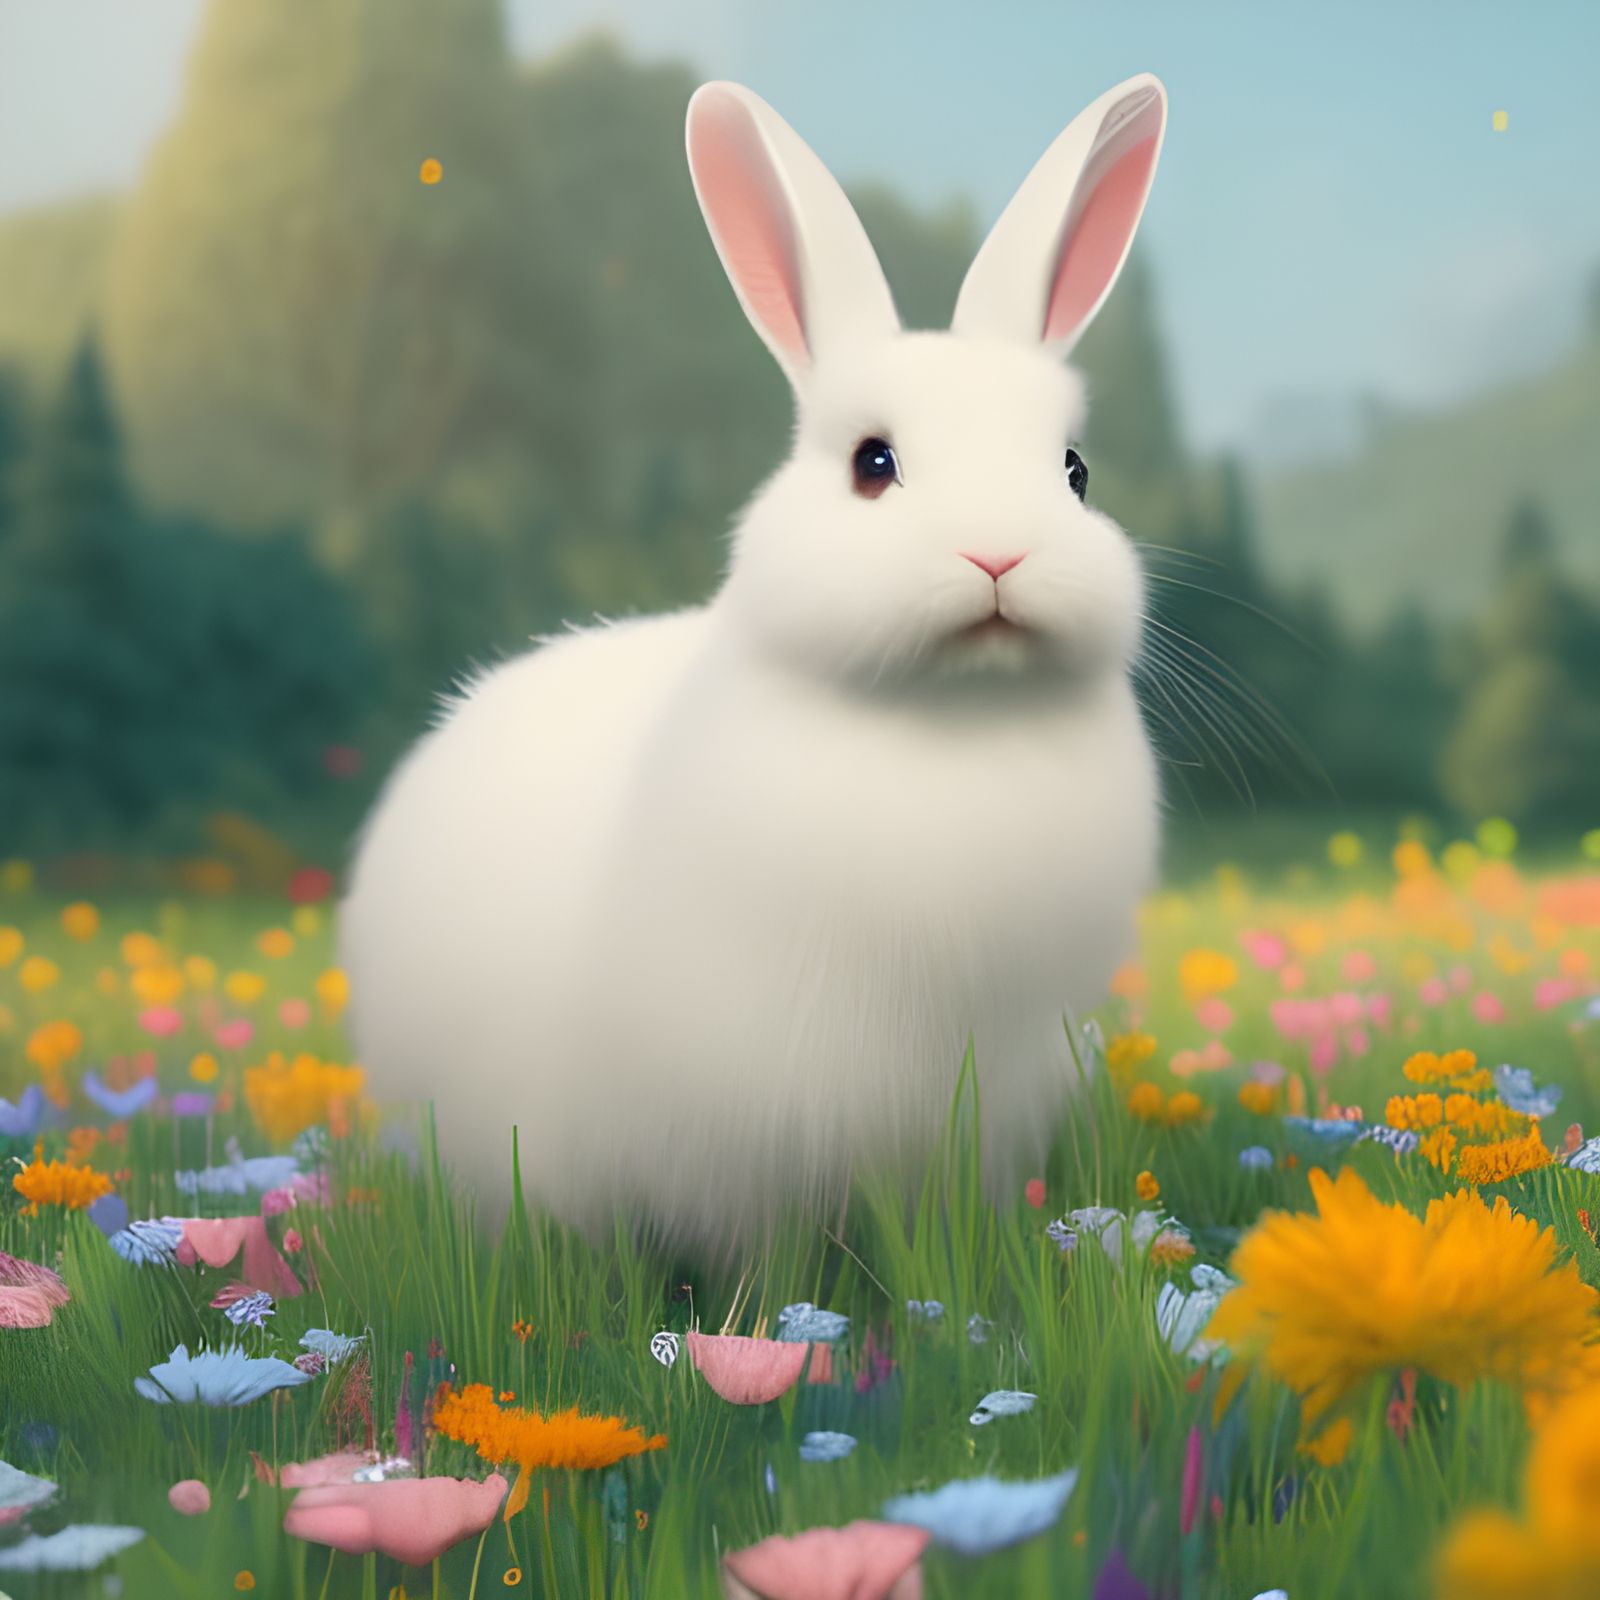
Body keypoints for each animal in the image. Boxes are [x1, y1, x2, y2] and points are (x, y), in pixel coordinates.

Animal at [339, 72, 1169, 1257]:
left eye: (1074, 471)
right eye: (872, 462)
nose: (999, 554)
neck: (950, 725)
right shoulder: (741, 1117)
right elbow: (760, 1255)